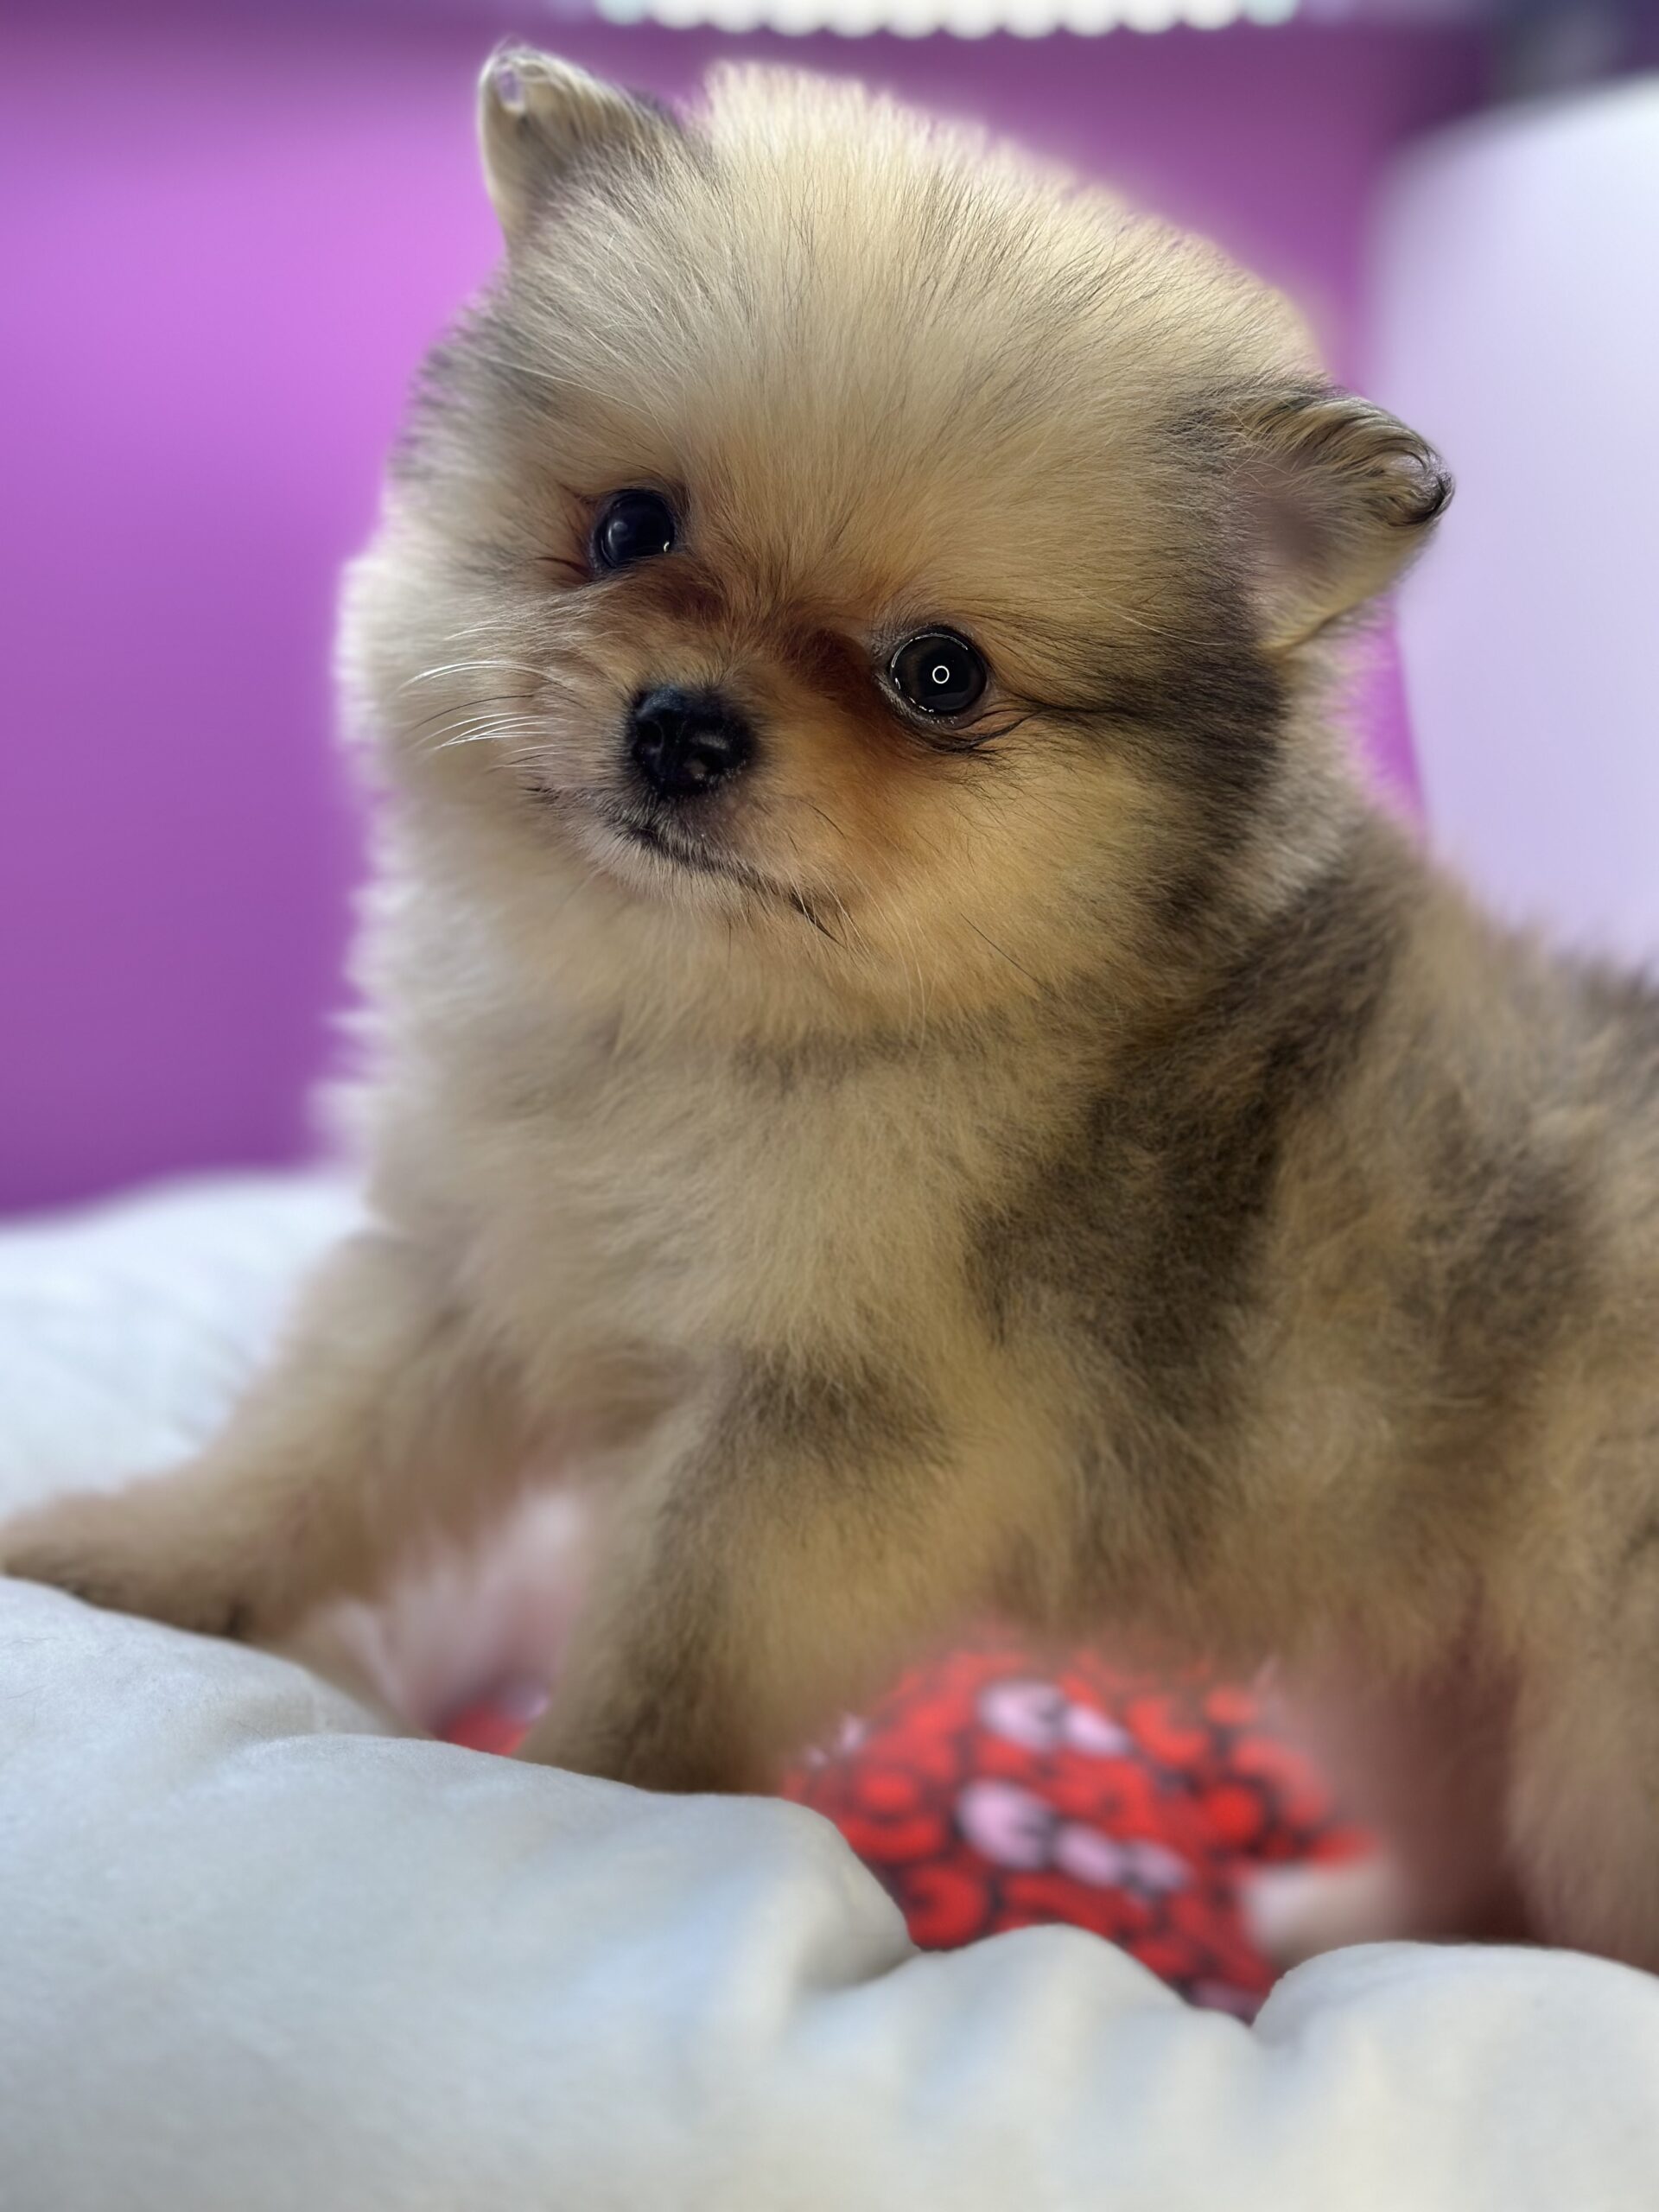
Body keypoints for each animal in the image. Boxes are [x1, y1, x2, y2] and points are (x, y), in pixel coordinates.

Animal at [9, 49, 1659, 1971]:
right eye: (631, 528)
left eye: (939, 676)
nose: (684, 726)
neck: (714, 1027)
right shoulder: (468, 1273)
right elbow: (304, 1458)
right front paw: (126, 1557)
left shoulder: (822, 1442)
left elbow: (663, 1660)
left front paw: (566, 1808)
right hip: (1430, 1670)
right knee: (1477, 1870)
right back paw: (1330, 1926)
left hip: (1595, 1726)